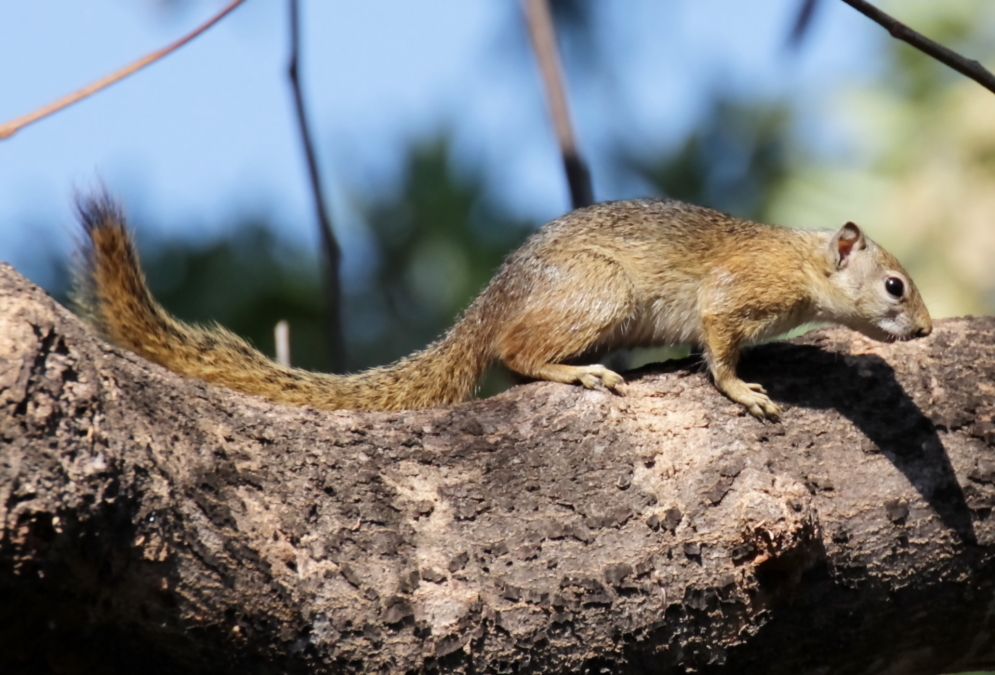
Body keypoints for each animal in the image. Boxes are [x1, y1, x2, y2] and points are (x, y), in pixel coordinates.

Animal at [72, 193, 932, 420]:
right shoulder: (733, 294)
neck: (802, 258)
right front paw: (744, 389)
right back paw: (581, 375)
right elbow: (717, 349)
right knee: (515, 354)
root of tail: (490, 303)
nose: (924, 328)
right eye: (894, 285)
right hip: (597, 295)